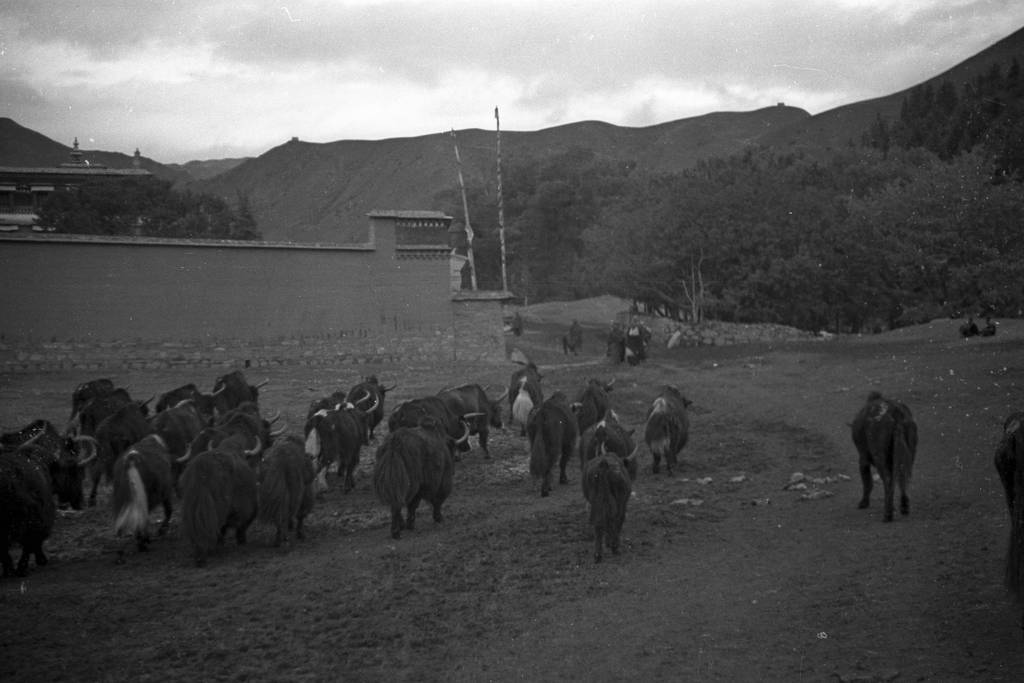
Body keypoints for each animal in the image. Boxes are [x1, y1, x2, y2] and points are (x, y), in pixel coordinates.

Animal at [582, 426, 633, 563]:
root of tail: (604, 464)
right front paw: (611, 543)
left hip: (597, 501)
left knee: (600, 523)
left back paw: (598, 554)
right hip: (618, 501)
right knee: (616, 518)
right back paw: (614, 547)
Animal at [850, 392, 918, 522]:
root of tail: (896, 413)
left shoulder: (863, 458)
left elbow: (867, 482)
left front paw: (863, 503)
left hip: (880, 458)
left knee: (888, 480)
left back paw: (888, 514)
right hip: (909, 454)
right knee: (904, 477)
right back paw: (904, 507)